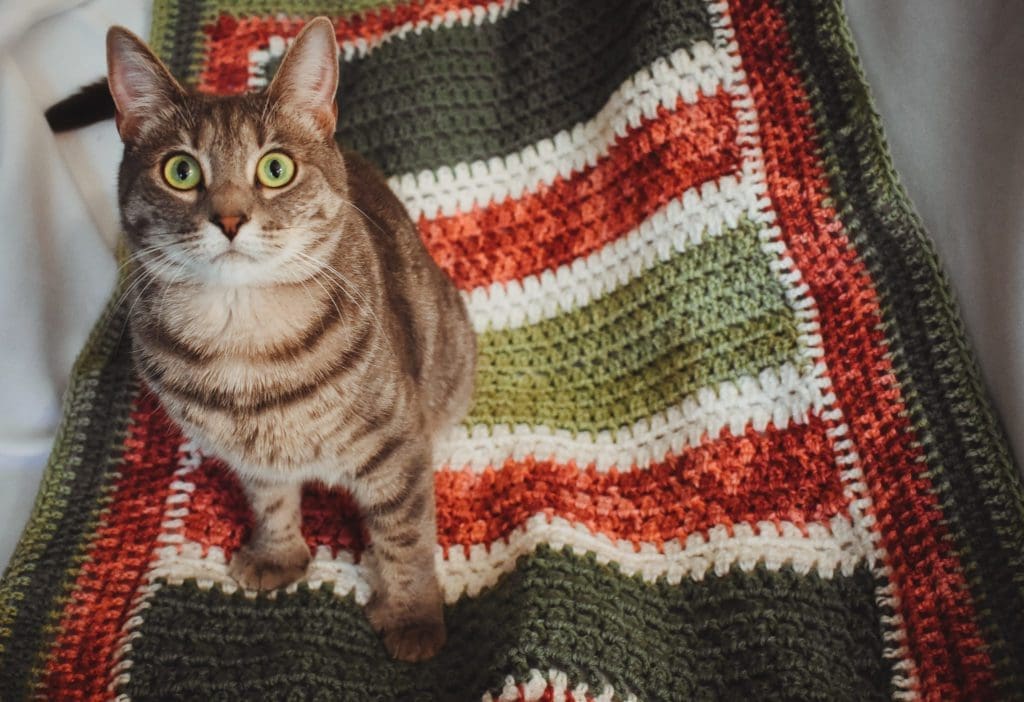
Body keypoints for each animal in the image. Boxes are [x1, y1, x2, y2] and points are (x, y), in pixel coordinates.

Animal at [102, 17, 471, 667]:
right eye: (181, 171)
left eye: (275, 169)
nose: (229, 220)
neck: (243, 341)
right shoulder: (251, 457)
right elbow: (270, 501)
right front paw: (279, 555)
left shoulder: (396, 443)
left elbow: (405, 535)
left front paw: (412, 616)